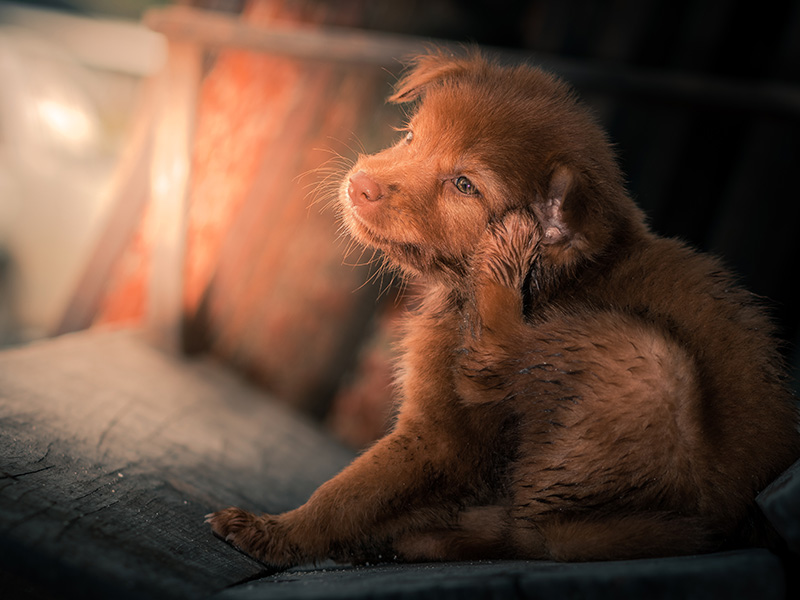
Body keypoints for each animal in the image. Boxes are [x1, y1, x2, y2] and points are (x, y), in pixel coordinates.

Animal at [208, 49, 800, 564]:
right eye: (411, 136)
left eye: (464, 185)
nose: (360, 185)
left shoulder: (440, 437)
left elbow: (351, 490)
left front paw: (276, 532)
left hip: (649, 363)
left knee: (536, 525)